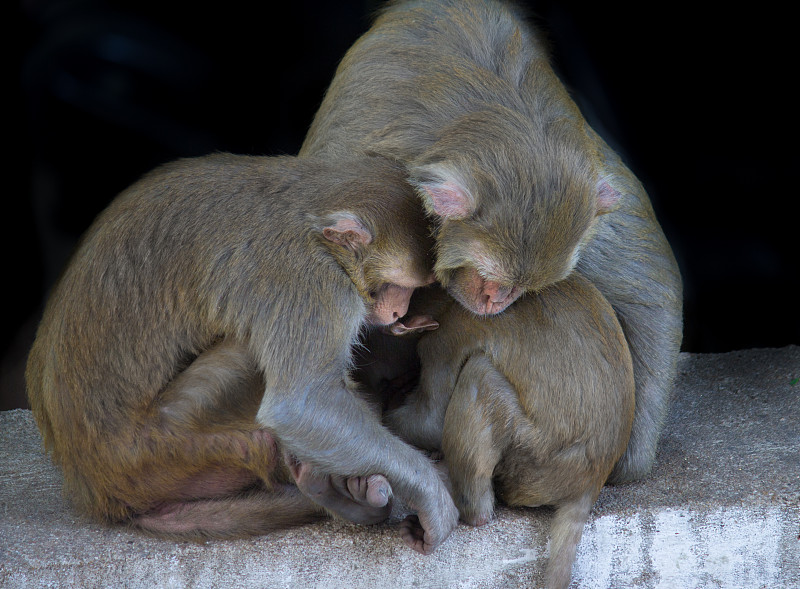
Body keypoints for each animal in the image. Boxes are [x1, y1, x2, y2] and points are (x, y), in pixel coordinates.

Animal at [25, 150, 460, 552]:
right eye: (398, 285)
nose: (399, 311)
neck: (310, 213)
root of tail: (94, 483)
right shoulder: (307, 278)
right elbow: (302, 405)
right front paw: (433, 496)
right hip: (169, 449)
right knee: (247, 354)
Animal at [300, 0, 680, 484]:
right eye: (490, 279)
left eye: (523, 288)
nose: (496, 304)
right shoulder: (360, 165)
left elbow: (649, 284)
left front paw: (628, 457)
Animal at [384, 276, 636, 588]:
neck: (451, 305)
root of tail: (591, 482)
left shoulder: (444, 340)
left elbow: (430, 421)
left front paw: (388, 401)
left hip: (531, 460)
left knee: (480, 375)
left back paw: (473, 512)